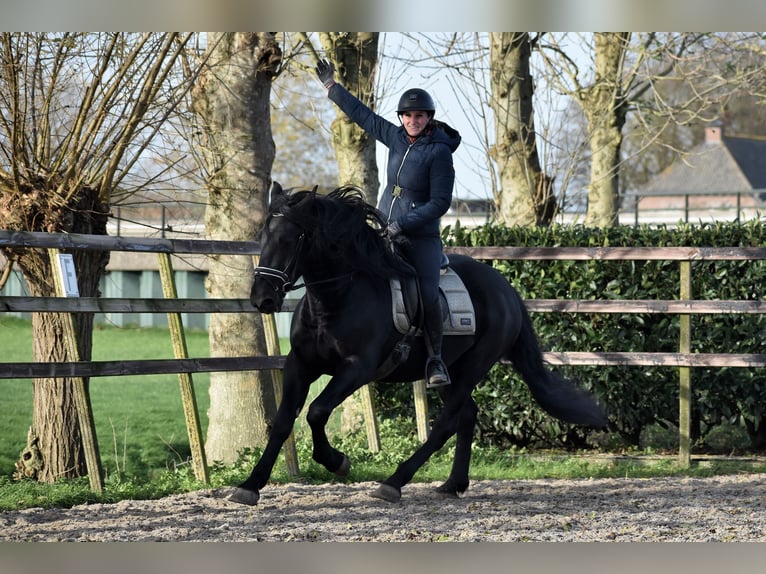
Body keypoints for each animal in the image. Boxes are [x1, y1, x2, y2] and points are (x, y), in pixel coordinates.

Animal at [231, 184, 608, 508]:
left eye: (291, 238)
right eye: (263, 237)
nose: (262, 299)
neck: (336, 297)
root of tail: (506, 289)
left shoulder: (356, 369)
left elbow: (317, 411)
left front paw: (337, 461)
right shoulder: (300, 365)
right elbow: (283, 422)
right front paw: (250, 486)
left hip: (473, 367)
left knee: (445, 425)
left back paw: (393, 482)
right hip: (452, 373)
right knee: (467, 416)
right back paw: (453, 484)